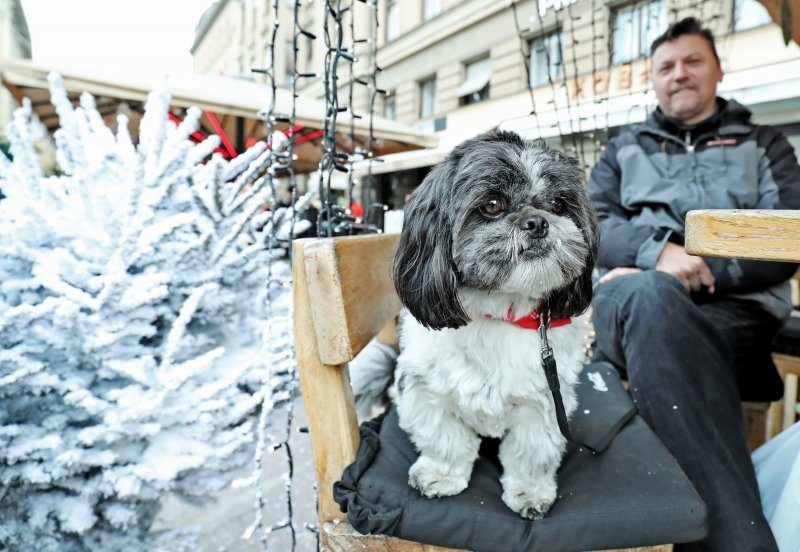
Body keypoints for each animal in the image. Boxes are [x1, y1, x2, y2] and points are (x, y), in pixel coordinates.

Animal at [390, 132, 596, 520]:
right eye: (493, 204)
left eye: (558, 204)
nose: (537, 222)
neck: (499, 313)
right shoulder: (427, 389)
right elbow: (443, 438)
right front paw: (441, 474)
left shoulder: (544, 401)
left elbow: (531, 451)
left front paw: (530, 492)